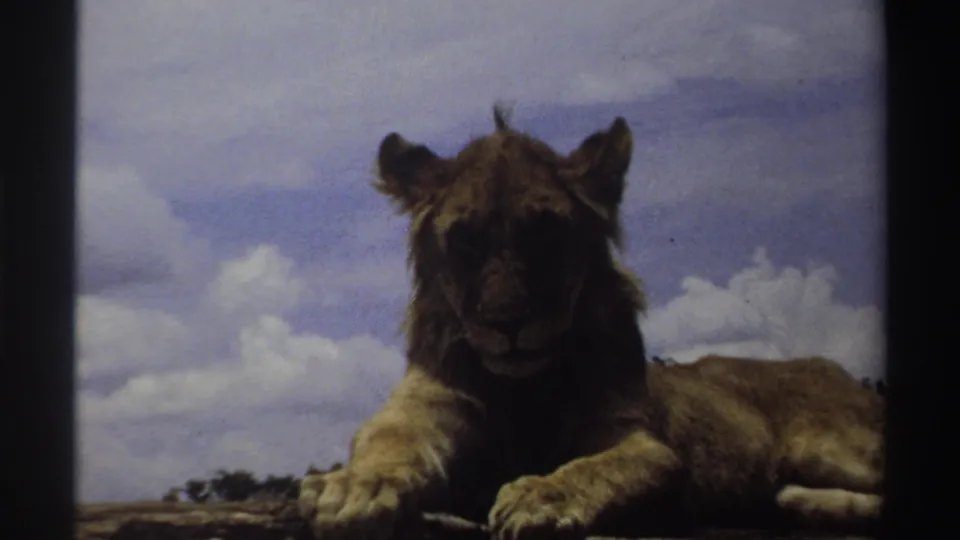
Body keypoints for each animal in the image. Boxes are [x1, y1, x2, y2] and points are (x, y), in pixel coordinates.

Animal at [298, 106, 884, 539]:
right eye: (465, 239)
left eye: (546, 232)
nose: (508, 323)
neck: (522, 388)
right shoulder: (425, 406)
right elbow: (389, 442)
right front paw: (353, 487)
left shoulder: (642, 441)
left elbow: (602, 466)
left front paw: (539, 496)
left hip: (829, 444)